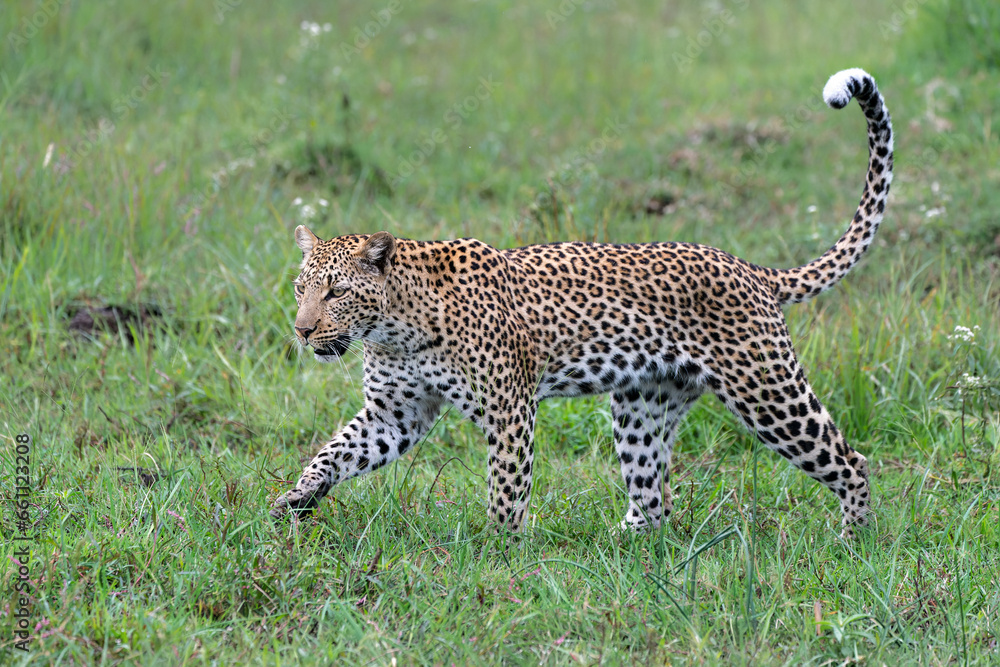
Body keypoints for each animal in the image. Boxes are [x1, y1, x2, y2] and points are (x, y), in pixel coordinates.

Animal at [271, 68, 893, 538]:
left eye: (337, 292)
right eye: (302, 290)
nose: (302, 331)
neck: (393, 330)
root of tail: (750, 268)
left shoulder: (509, 409)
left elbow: (506, 487)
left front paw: (499, 553)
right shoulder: (395, 413)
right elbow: (332, 453)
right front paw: (294, 500)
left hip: (767, 390)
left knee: (849, 459)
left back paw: (854, 540)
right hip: (643, 405)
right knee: (654, 501)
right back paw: (616, 547)